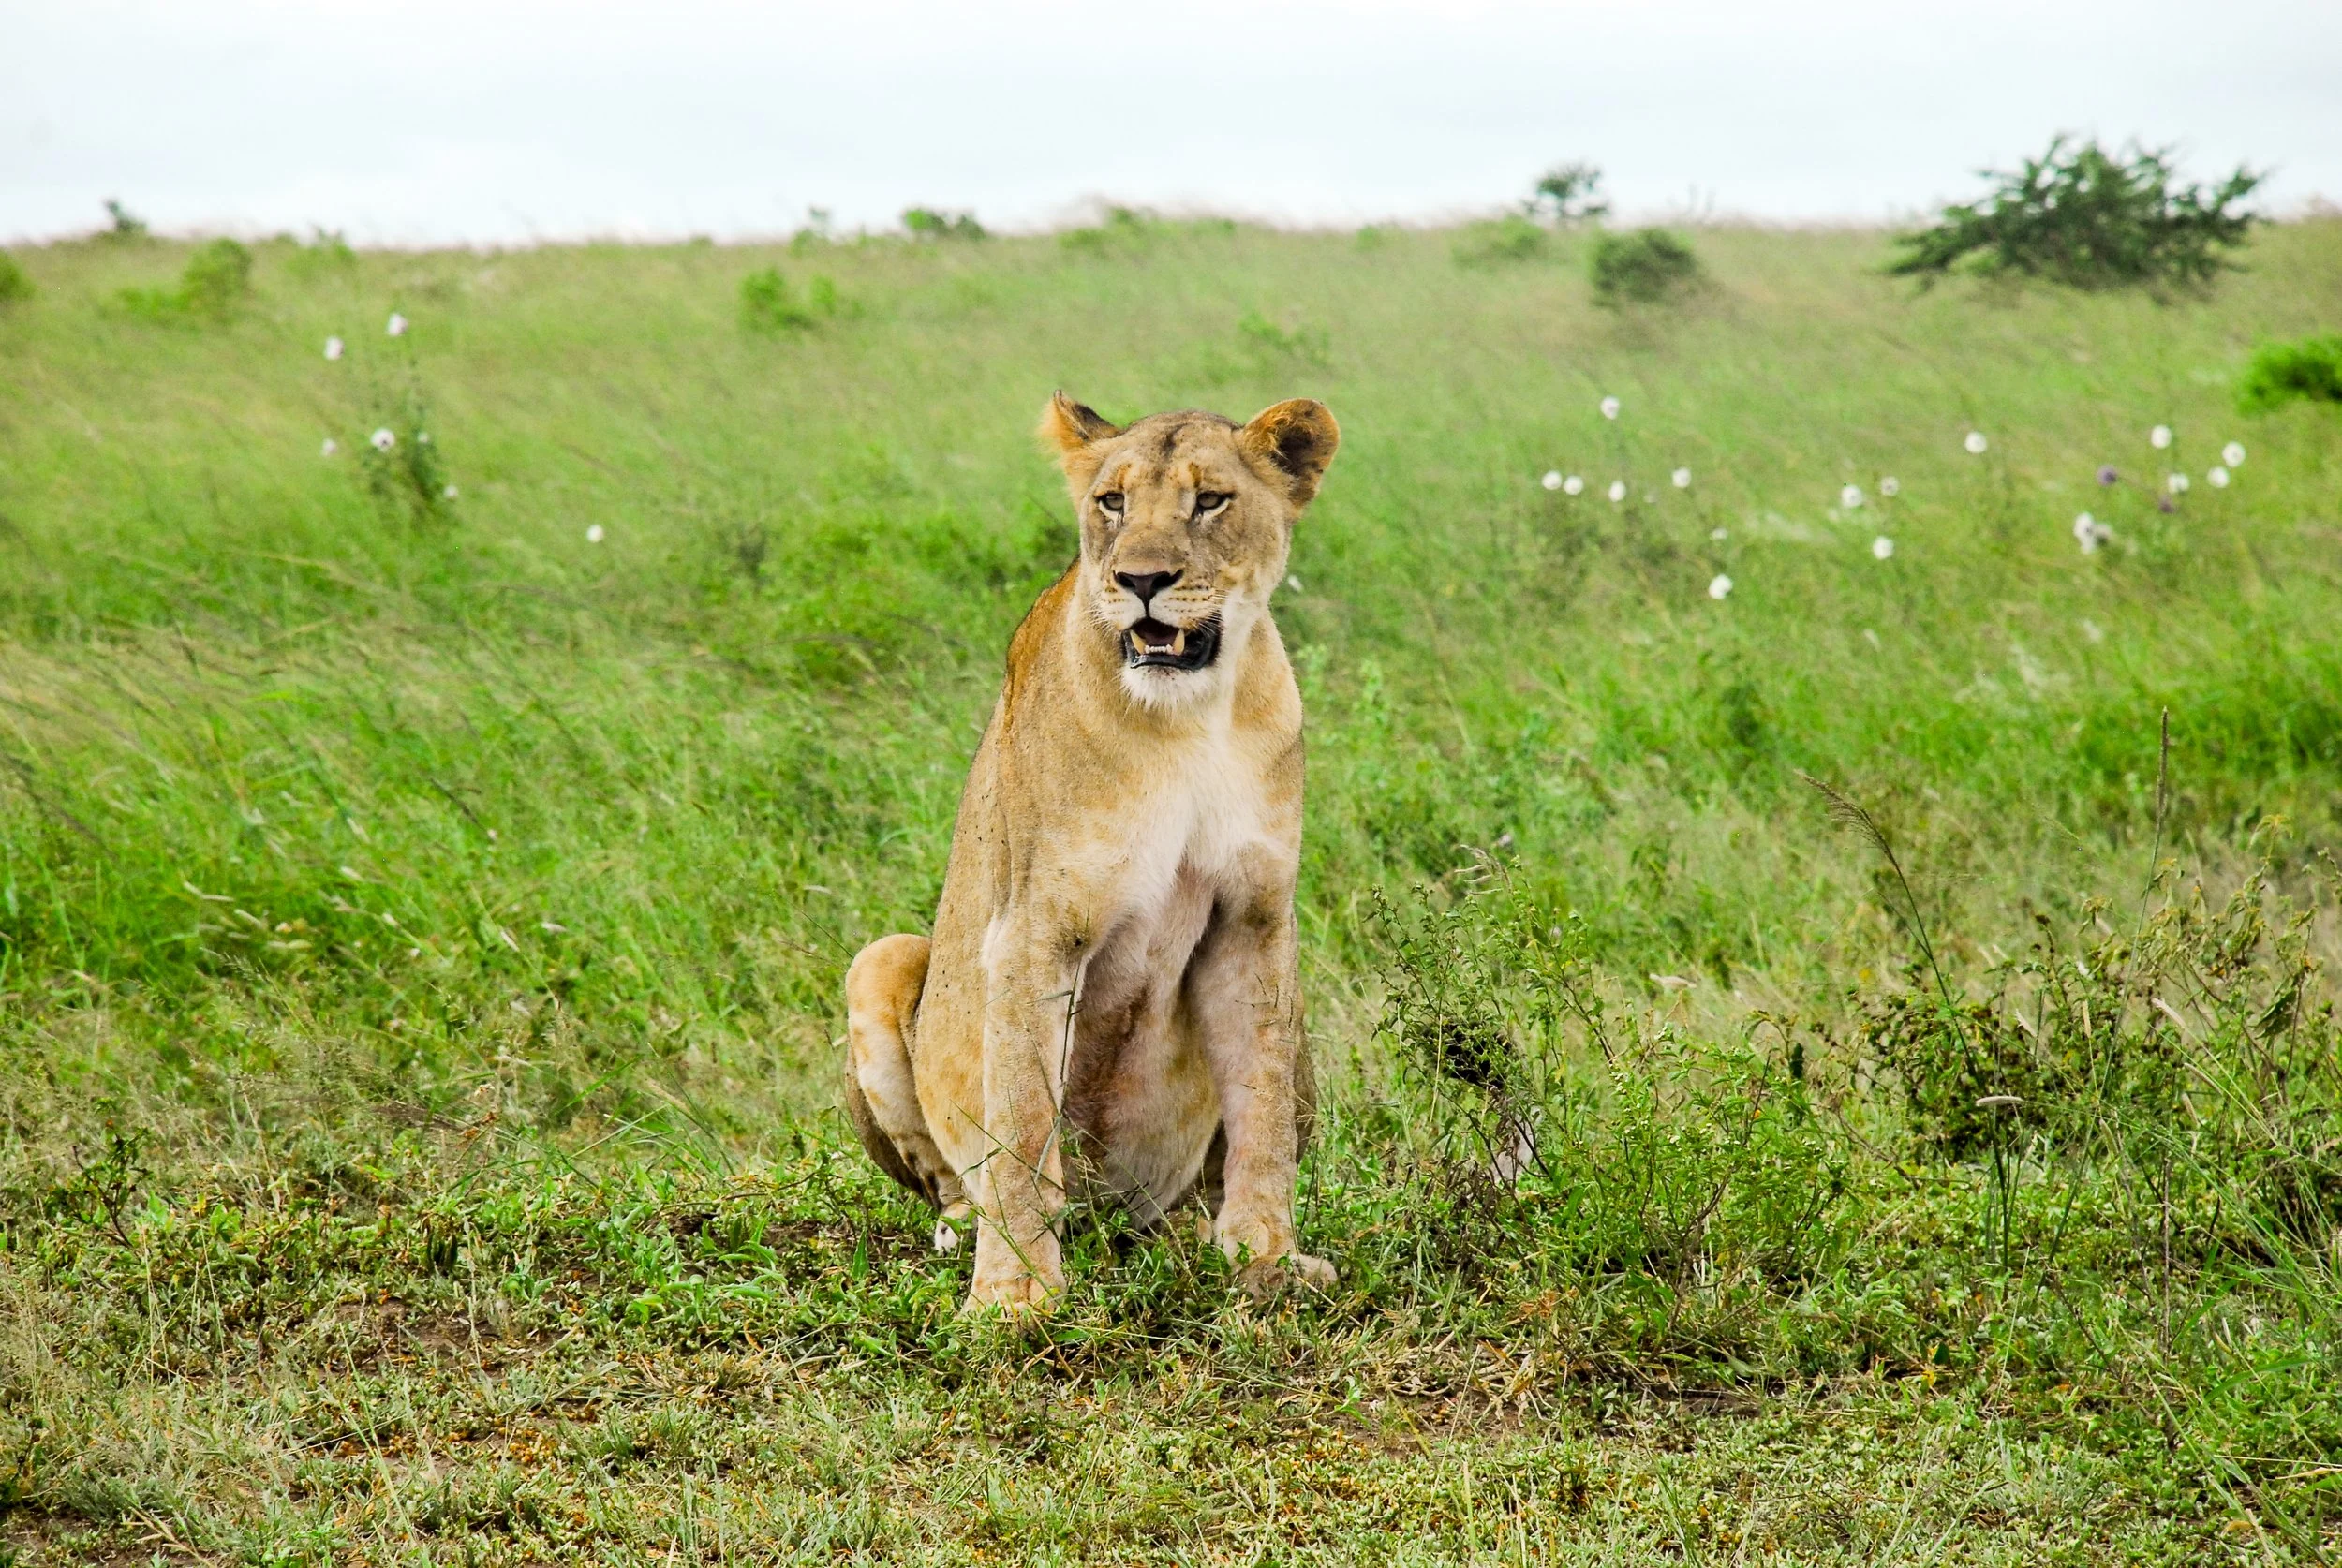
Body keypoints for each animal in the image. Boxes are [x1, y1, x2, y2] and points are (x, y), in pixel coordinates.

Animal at [842, 391, 1341, 1314]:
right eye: (1112, 502)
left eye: (1209, 500)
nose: (1141, 581)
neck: (1189, 721)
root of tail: (1112, 1223)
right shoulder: (1033, 929)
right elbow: (1021, 1123)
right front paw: (1013, 1298)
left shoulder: (1255, 917)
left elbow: (1259, 1110)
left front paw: (1267, 1257)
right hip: (883, 956)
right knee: (951, 1178)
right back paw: (964, 1229)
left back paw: (1188, 1232)